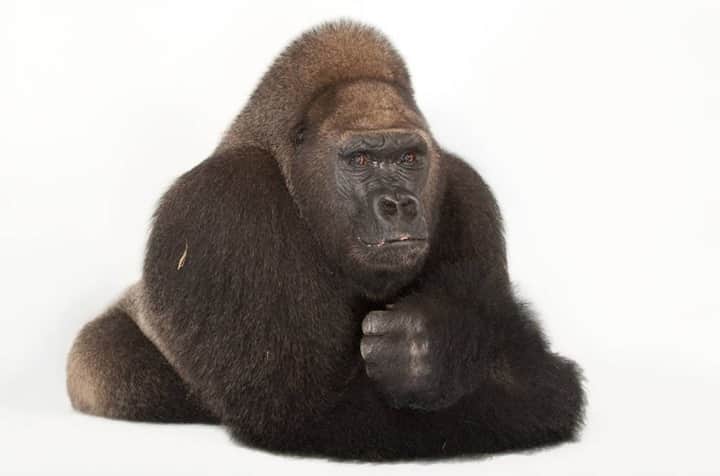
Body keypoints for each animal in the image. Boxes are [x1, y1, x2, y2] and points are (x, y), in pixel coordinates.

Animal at [67, 20, 585, 461]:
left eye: (410, 158)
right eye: (359, 160)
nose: (399, 204)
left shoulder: (466, 191)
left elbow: (511, 351)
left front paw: (445, 344)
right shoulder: (220, 204)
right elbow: (304, 410)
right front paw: (440, 354)